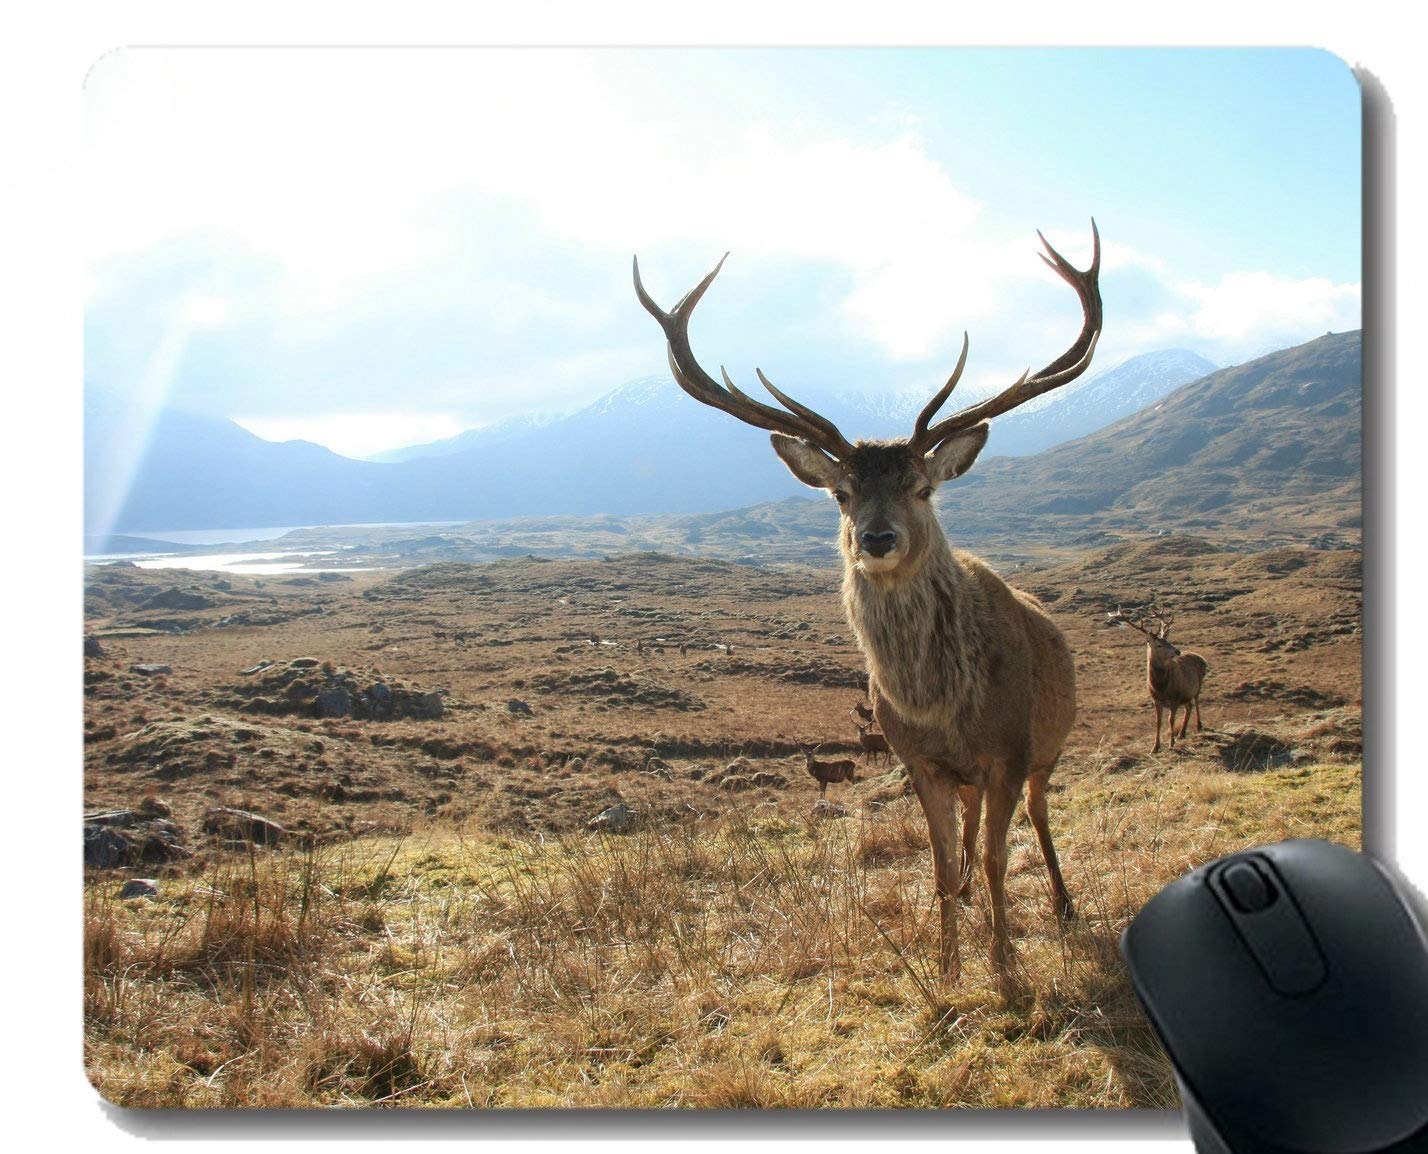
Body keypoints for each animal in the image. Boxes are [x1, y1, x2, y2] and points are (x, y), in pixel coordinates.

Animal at [635, 222, 1101, 983]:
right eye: (840, 493)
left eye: (922, 486)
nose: (877, 539)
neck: (941, 706)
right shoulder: (920, 763)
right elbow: (941, 868)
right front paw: (948, 967)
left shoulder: (1009, 749)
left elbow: (1001, 860)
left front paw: (1005, 965)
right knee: (972, 831)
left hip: (1048, 749)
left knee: (1037, 817)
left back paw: (1062, 905)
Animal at [1108, 605, 1209, 754]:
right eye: (1159, 645)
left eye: (1168, 641)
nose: (1177, 651)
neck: (1160, 687)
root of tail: (1202, 658)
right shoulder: (1156, 699)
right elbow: (1158, 722)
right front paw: (1155, 747)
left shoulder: (1174, 697)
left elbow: (1171, 720)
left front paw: (1171, 744)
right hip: (1185, 693)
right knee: (1189, 706)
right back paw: (1182, 733)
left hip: (1197, 685)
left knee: (1196, 702)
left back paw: (1198, 726)